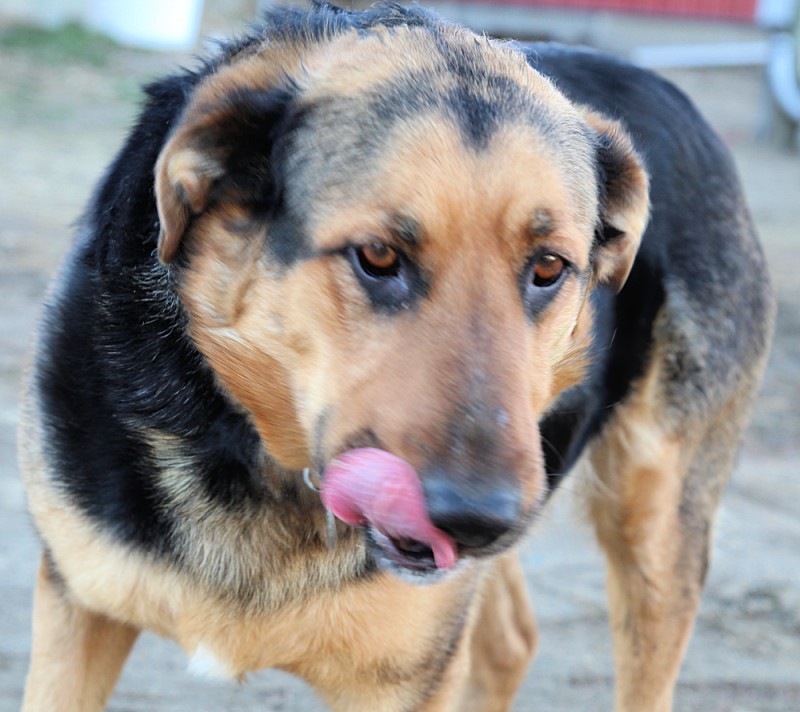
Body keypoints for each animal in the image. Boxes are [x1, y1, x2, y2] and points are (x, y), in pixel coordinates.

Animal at [20, 2, 776, 708]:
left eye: (549, 268)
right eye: (379, 256)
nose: (477, 521)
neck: (255, 452)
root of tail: (666, 86)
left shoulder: (409, 675)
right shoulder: (75, 606)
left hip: (654, 521)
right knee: (510, 641)